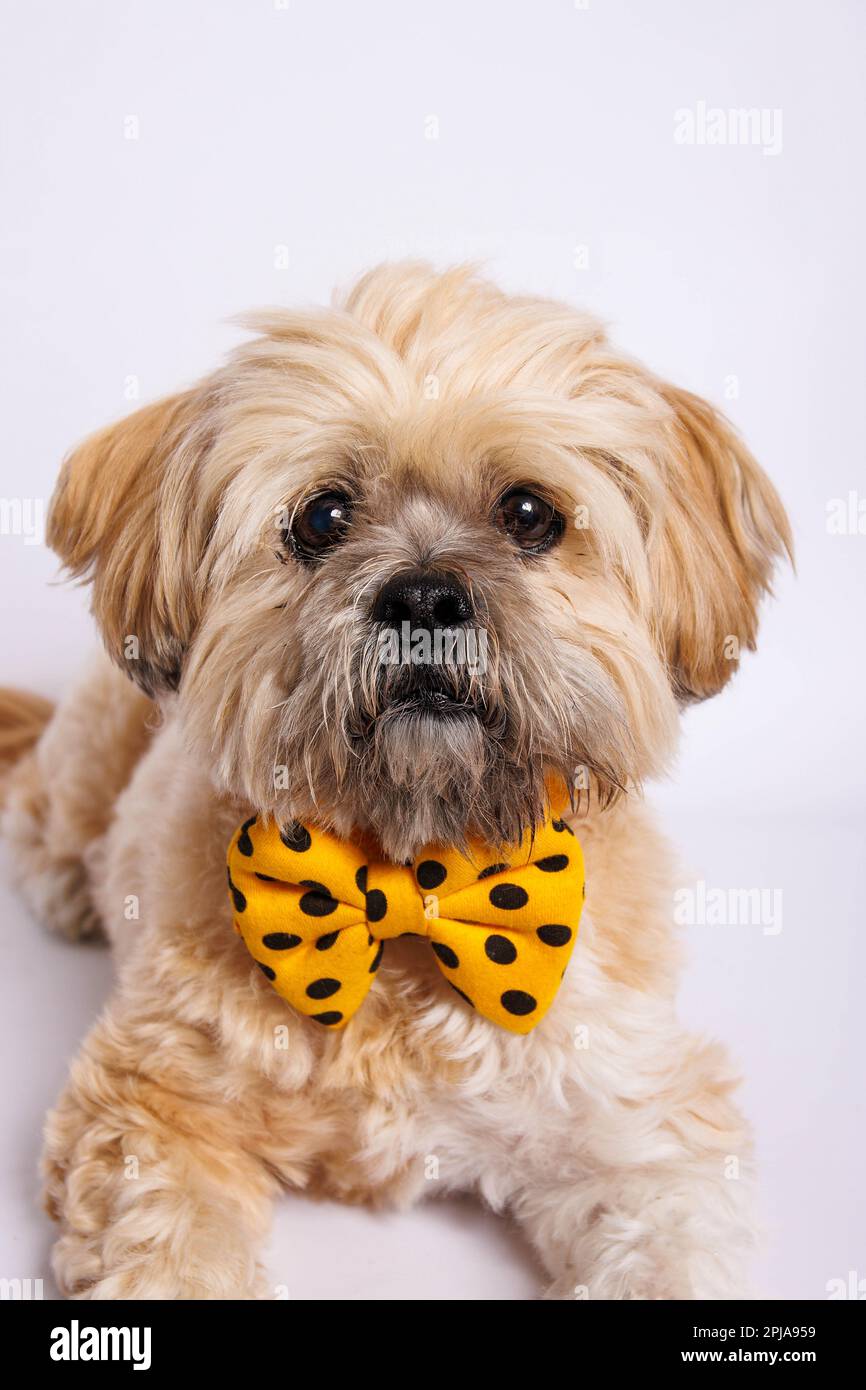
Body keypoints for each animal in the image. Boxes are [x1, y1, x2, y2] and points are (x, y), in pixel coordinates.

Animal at [0, 265, 795, 1295]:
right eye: (323, 517)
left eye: (529, 513)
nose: (422, 595)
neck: (411, 878)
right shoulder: (151, 1110)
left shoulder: (641, 1127)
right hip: (92, 748)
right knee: (43, 809)